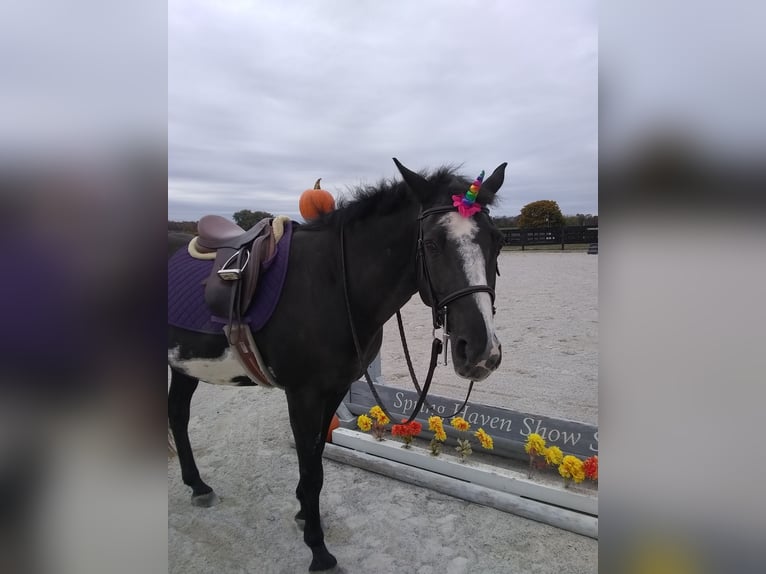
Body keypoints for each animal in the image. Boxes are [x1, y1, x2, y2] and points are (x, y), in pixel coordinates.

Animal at [168, 158, 507, 571]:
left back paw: (197, 485)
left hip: (183, 365)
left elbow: (315, 461)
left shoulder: (335, 389)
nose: (481, 351)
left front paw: (304, 514)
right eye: (431, 243)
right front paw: (318, 549)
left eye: (498, 241)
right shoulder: (303, 395)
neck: (329, 281)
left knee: (177, 414)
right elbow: (311, 469)